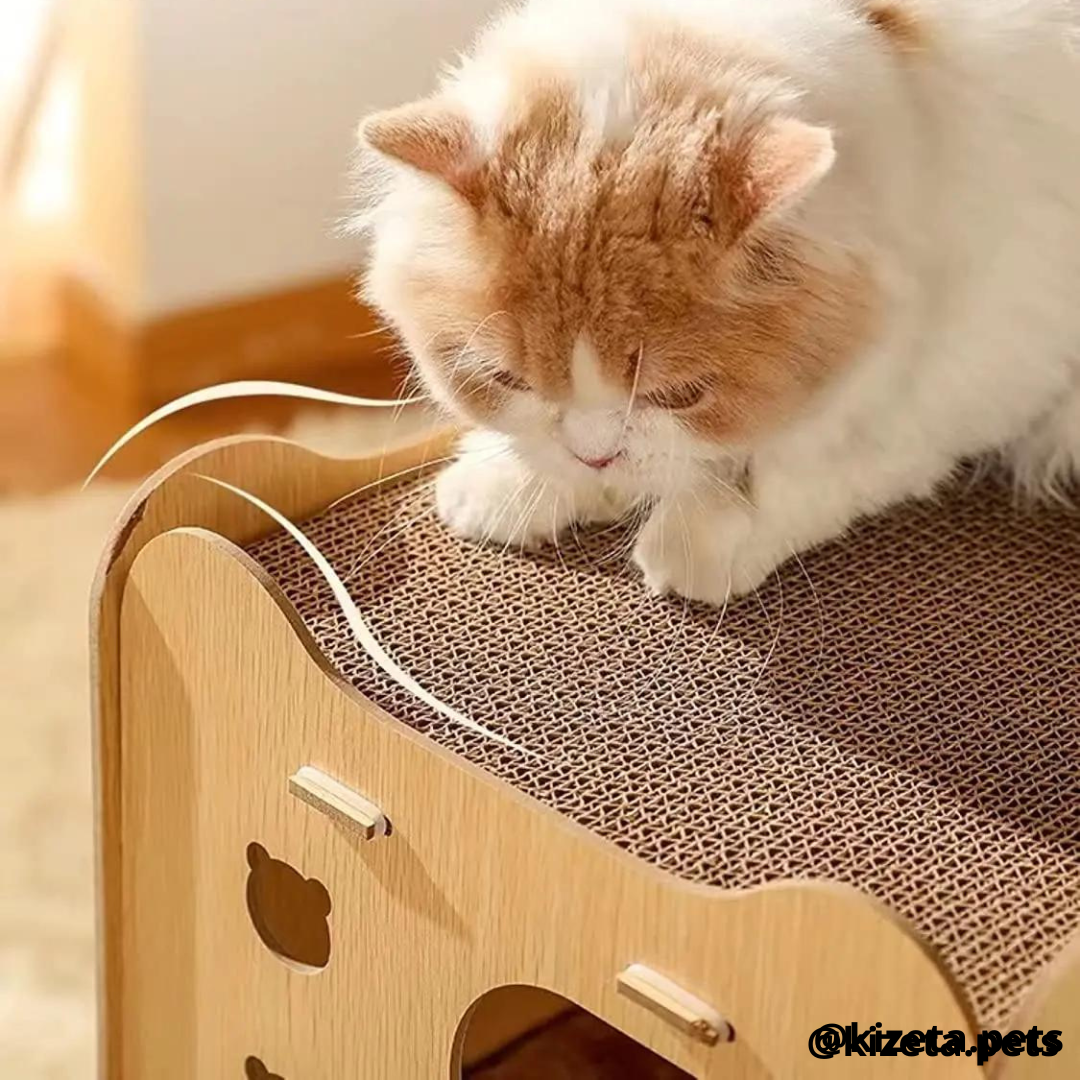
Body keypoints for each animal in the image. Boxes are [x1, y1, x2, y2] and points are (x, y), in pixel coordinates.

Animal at [356, 0, 1080, 609]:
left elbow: (803, 466)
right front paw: (517, 481)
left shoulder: (975, 375)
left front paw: (699, 539)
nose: (595, 456)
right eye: (508, 379)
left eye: (679, 396)